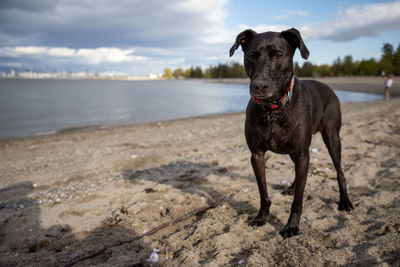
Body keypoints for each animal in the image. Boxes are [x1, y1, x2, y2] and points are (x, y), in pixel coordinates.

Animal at [228, 28, 354, 239]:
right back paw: (292, 187)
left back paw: (344, 200)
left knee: (339, 171)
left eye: (278, 55)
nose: (259, 86)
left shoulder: (302, 153)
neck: (273, 109)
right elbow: (263, 193)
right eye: (251, 56)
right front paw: (262, 217)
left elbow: (298, 200)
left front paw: (292, 225)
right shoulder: (257, 156)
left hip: (332, 138)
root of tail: (329, 87)